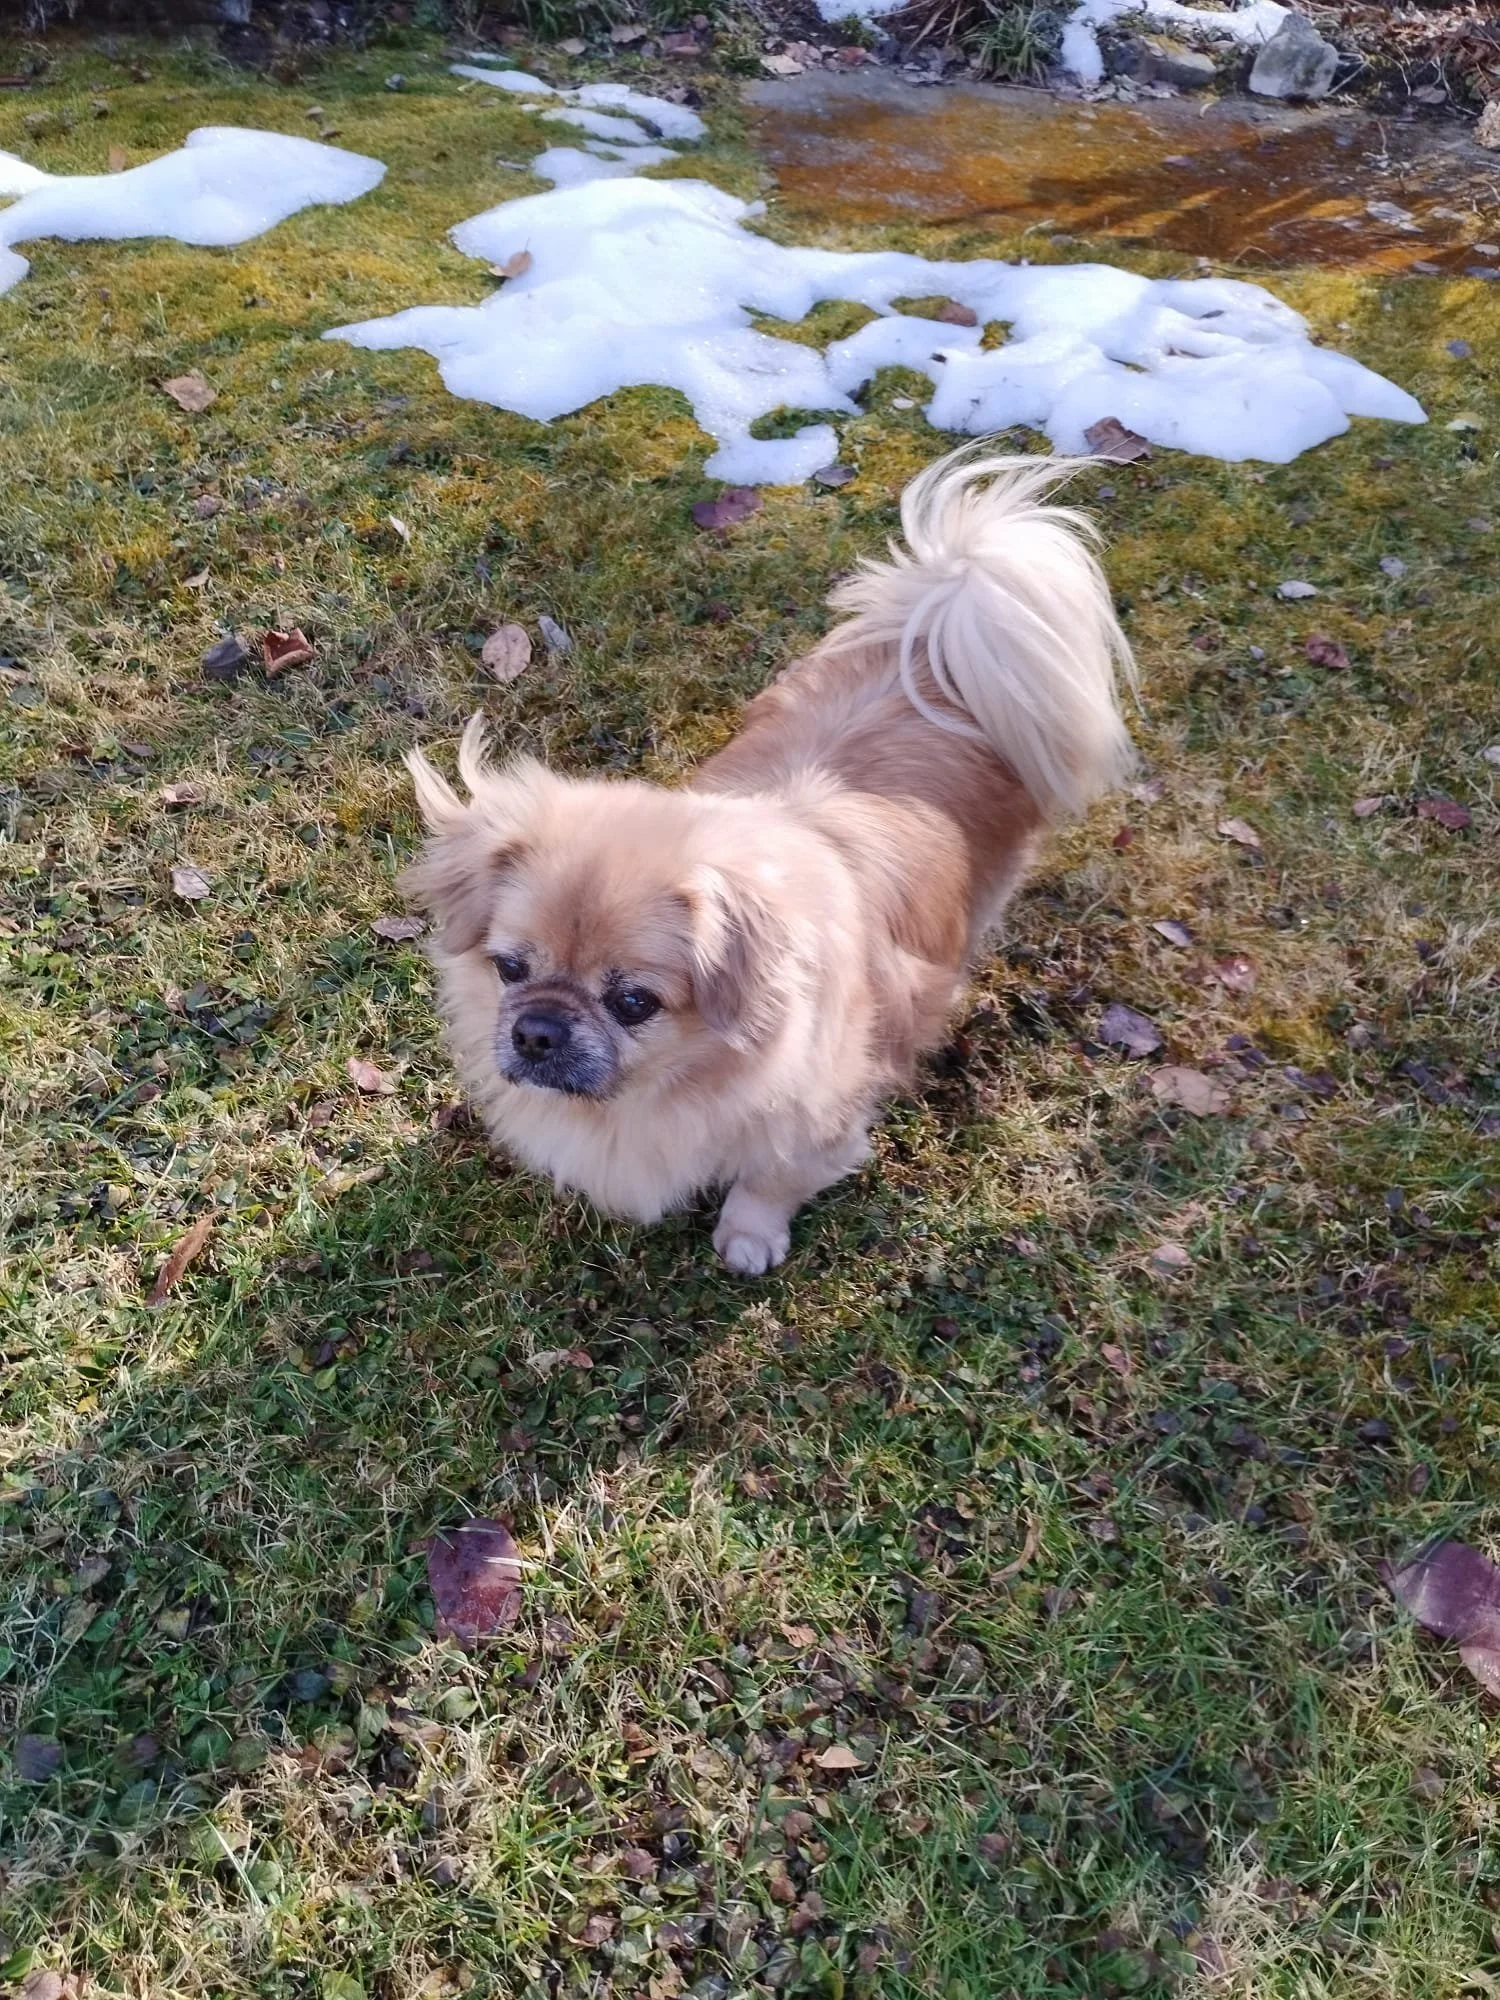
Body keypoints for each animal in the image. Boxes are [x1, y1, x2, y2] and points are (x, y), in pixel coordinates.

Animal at [402, 448, 1134, 1273]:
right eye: (509, 969)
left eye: (634, 1003)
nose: (537, 1031)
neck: (667, 1088)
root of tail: (936, 632)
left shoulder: (818, 1123)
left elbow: (771, 1179)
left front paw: (749, 1236)